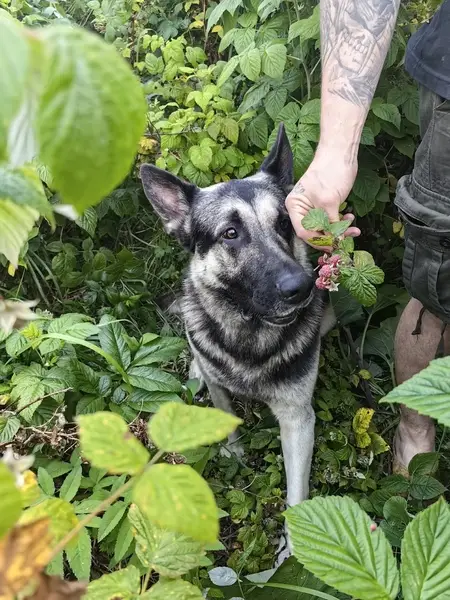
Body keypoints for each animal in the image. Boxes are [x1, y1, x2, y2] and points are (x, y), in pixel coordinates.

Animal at [140, 123, 335, 549]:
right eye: (230, 233)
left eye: (284, 224)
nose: (301, 287)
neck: (251, 337)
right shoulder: (220, 387)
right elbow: (224, 415)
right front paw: (234, 452)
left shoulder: (298, 420)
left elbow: (296, 495)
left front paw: (293, 552)